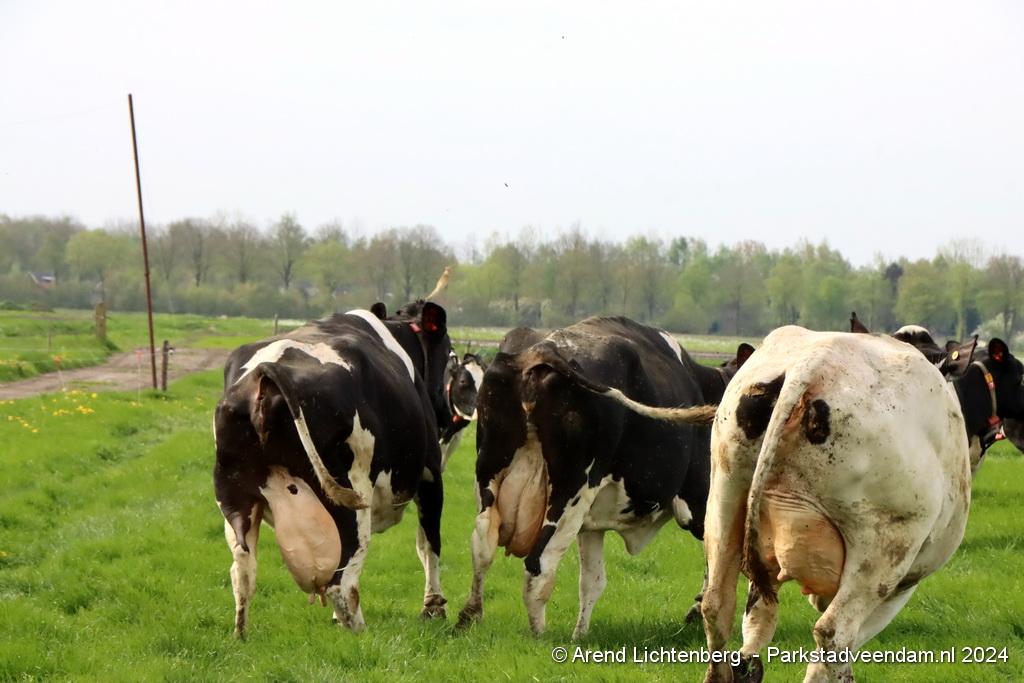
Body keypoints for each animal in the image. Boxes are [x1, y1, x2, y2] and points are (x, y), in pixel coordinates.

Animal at [213, 298, 453, 637]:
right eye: (450, 354)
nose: (446, 414)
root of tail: (267, 370)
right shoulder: (431, 475)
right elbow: (429, 543)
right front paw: (433, 607)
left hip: (235, 498)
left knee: (243, 571)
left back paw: (241, 635)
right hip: (350, 496)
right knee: (342, 580)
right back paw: (359, 632)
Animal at [456, 317, 752, 639]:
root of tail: (542, 349)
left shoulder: (591, 527)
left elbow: (592, 581)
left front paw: (580, 635)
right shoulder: (701, 503)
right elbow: (717, 560)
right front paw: (701, 613)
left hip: (491, 473)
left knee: (481, 546)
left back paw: (469, 617)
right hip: (570, 493)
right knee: (538, 565)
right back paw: (539, 636)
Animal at [700, 327, 1024, 682]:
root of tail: (816, 362)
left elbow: (756, 626)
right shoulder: (900, 586)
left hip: (724, 504)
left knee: (716, 607)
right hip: (881, 551)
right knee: (833, 633)